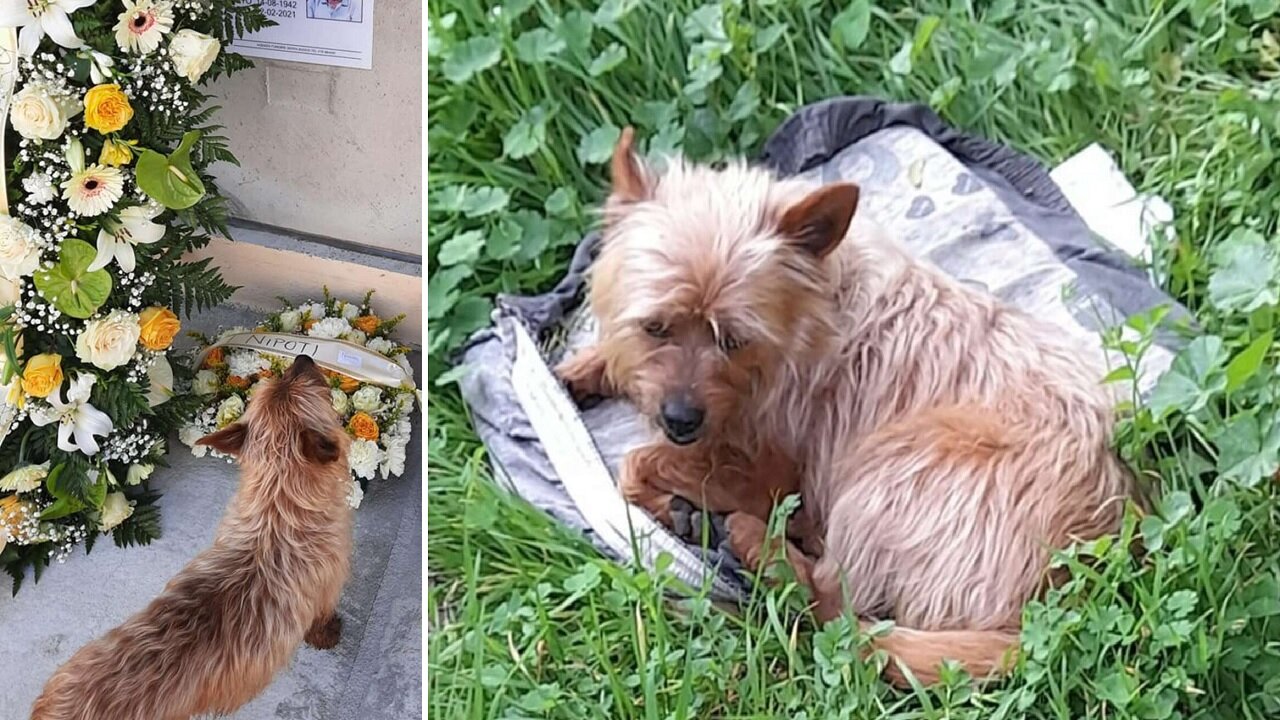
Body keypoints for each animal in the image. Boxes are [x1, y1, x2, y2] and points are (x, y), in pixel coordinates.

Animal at [35, 353, 355, 717]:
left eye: (280, 380)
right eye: (306, 384)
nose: (302, 357)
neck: (278, 502)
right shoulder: (328, 587)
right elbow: (321, 619)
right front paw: (328, 635)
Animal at [555, 128, 1136, 681]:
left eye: (734, 340)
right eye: (654, 327)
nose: (679, 420)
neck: (811, 310)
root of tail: (1059, 604)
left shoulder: (769, 470)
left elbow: (636, 466)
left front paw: (671, 493)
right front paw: (583, 369)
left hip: (889, 473)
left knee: (832, 603)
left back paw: (748, 539)